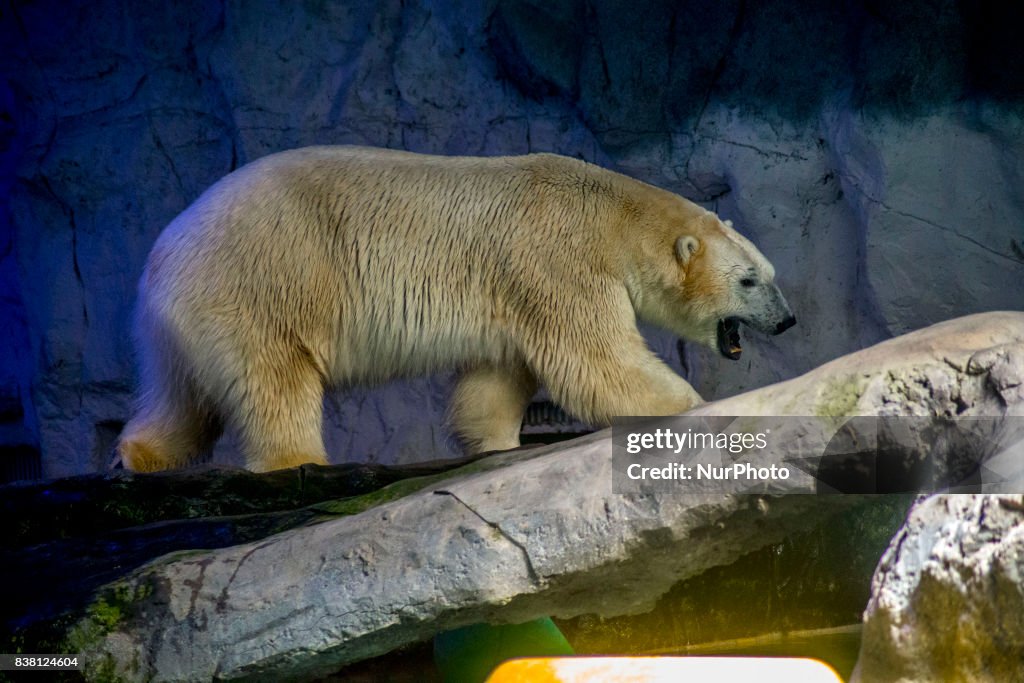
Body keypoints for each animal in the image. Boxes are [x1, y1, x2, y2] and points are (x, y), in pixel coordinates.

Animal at [116, 147, 794, 473]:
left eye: (769, 274)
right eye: (749, 280)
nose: (788, 321)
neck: (609, 215)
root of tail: (164, 252)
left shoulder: (515, 287)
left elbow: (495, 376)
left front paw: (493, 441)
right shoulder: (559, 257)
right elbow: (596, 359)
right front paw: (693, 404)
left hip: (187, 316)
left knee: (181, 394)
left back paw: (138, 454)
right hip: (262, 281)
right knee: (272, 376)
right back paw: (297, 459)